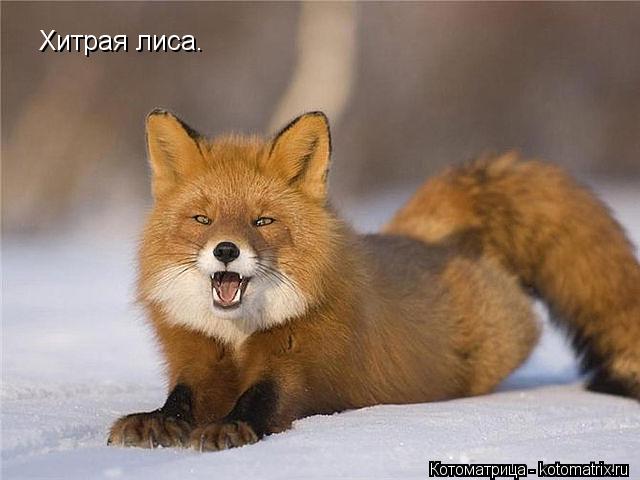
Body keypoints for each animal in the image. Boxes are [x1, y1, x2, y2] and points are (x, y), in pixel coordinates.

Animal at [108, 109, 640, 451]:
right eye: (202, 219)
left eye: (262, 221)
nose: (225, 250)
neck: (238, 335)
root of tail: (427, 238)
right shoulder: (196, 355)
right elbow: (180, 399)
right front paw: (156, 423)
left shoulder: (300, 362)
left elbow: (262, 399)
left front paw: (231, 428)